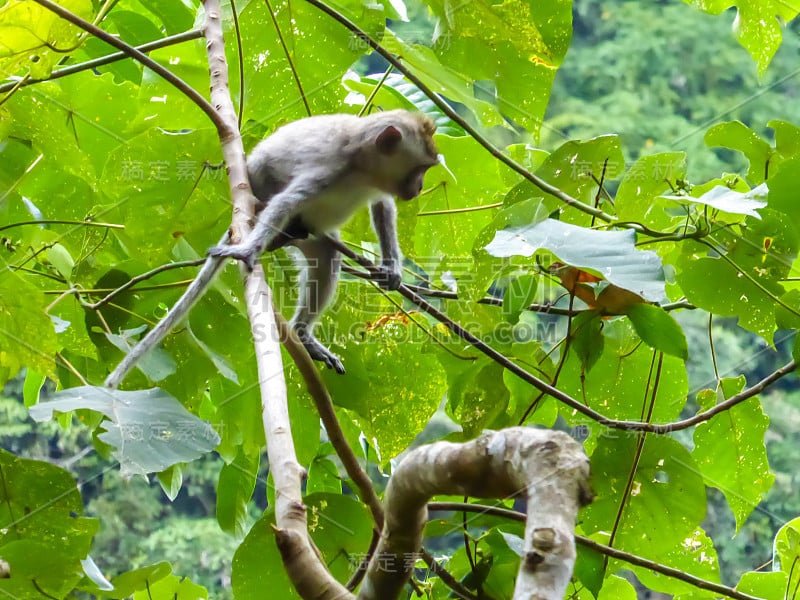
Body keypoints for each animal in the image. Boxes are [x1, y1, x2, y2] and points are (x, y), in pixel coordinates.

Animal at [105, 110, 438, 386]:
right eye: (420, 169)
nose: (420, 187)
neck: (363, 167)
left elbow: (383, 206)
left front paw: (392, 269)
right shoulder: (327, 171)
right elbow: (286, 202)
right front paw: (246, 252)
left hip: (313, 239)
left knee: (326, 260)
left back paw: (302, 332)